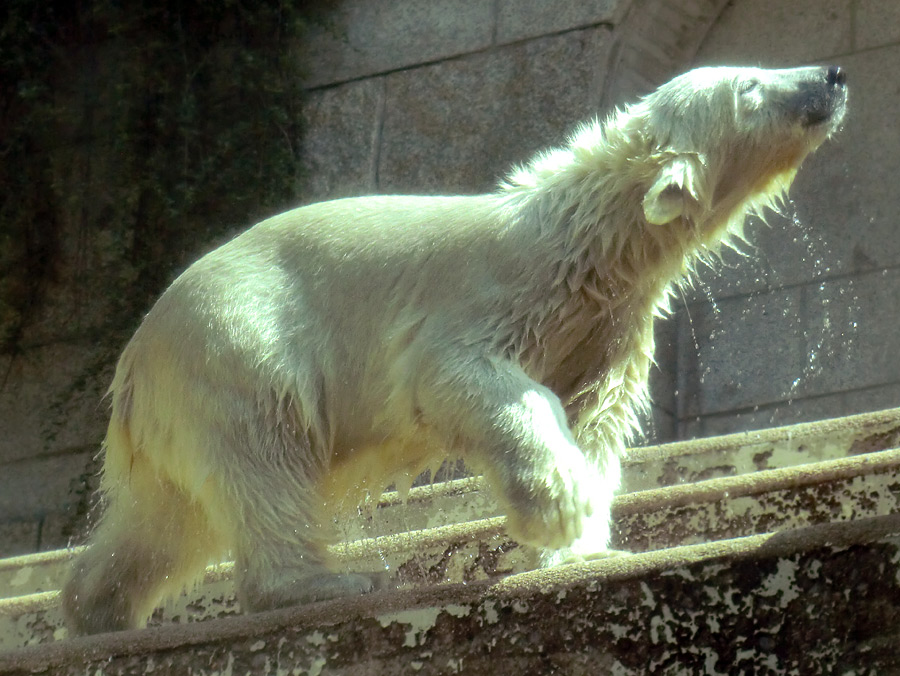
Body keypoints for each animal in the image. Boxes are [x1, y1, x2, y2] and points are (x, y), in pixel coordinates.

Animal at [59, 63, 848, 632]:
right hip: (238, 349)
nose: (834, 75)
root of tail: (133, 365)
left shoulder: (606, 327)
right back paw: (329, 580)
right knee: (265, 461)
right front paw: (558, 508)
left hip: (182, 408)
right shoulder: (494, 292)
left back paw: (97, 609)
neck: (584, 239)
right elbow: (463, 380)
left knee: (166, 522)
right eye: (751, 85)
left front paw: (583, 539)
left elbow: (596, 418)